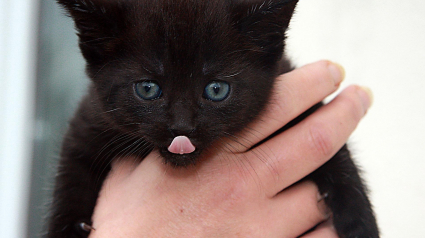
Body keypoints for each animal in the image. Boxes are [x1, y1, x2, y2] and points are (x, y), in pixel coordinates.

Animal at [48, 0, 380, 237]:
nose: (181, 127)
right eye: (147, 89)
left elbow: (337, 154)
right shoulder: (89, 123)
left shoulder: (292, 89)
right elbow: (70, 178)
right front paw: (67, 229)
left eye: (216, 90)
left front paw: (360, 222)